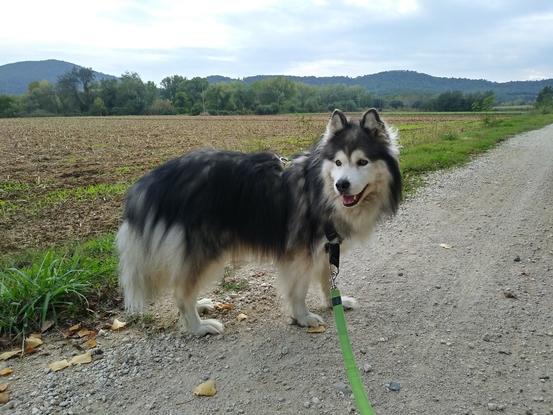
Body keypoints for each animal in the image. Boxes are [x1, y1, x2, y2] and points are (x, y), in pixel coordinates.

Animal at [117, 109, 402, 336]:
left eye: (362, 162)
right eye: (339, 162)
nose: (341, 185)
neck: (320, 189)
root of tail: (154, 180)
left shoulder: (325, 247)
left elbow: (326, 279)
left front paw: (334, 302)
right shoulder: (300, 253)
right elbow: (299, 290)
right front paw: (303, 317)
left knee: (183, 287)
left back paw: (199, 306)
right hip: (203, 249)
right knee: (181, 293)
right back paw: (198, 326)